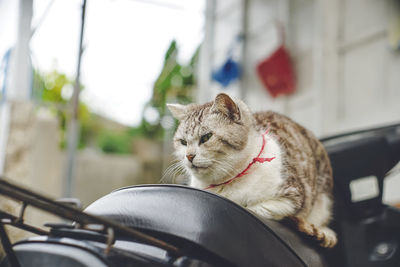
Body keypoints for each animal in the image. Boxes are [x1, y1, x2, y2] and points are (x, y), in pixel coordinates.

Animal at [166, 93, 338, 249]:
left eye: (206, 137)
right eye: (183, 142)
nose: (189, 156)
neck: (224, 185)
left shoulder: (292, 197)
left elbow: (254, 208)